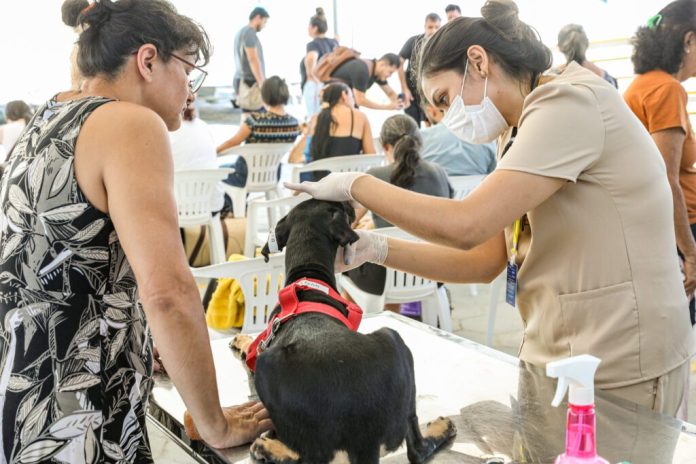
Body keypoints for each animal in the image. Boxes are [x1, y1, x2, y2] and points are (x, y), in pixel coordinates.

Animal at [231, 199, 454, 464]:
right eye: (339, 206)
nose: (349, 201)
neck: (307, 275)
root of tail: (362, 439)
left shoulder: (264, 346)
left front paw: (241, 341)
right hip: (393, 338)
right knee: (417, 448)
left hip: (268, 362)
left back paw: (267, 448)